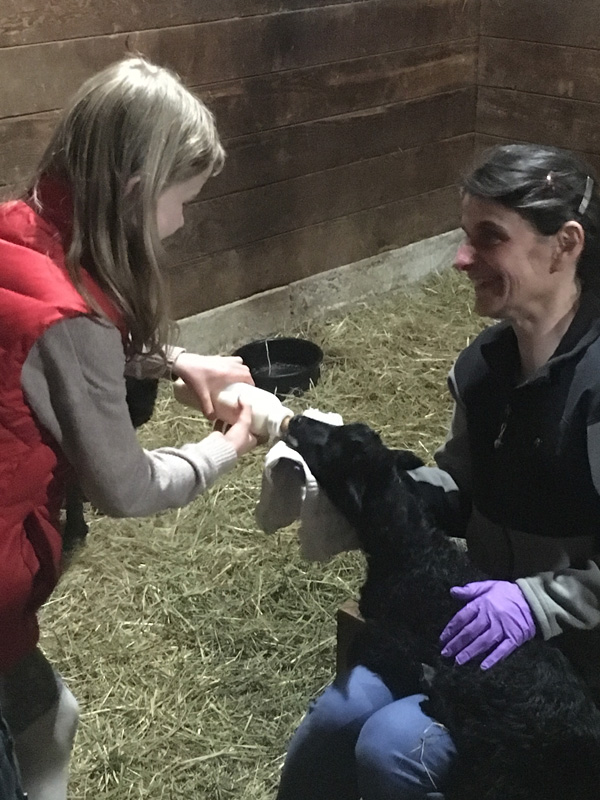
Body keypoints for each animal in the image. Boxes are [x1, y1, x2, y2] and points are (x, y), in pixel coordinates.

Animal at [284, 416, 600, 796]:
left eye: (341, 447)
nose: (296, 420)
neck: (416, 552)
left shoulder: (399, 633)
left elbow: (373, 640)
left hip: (499, 770)